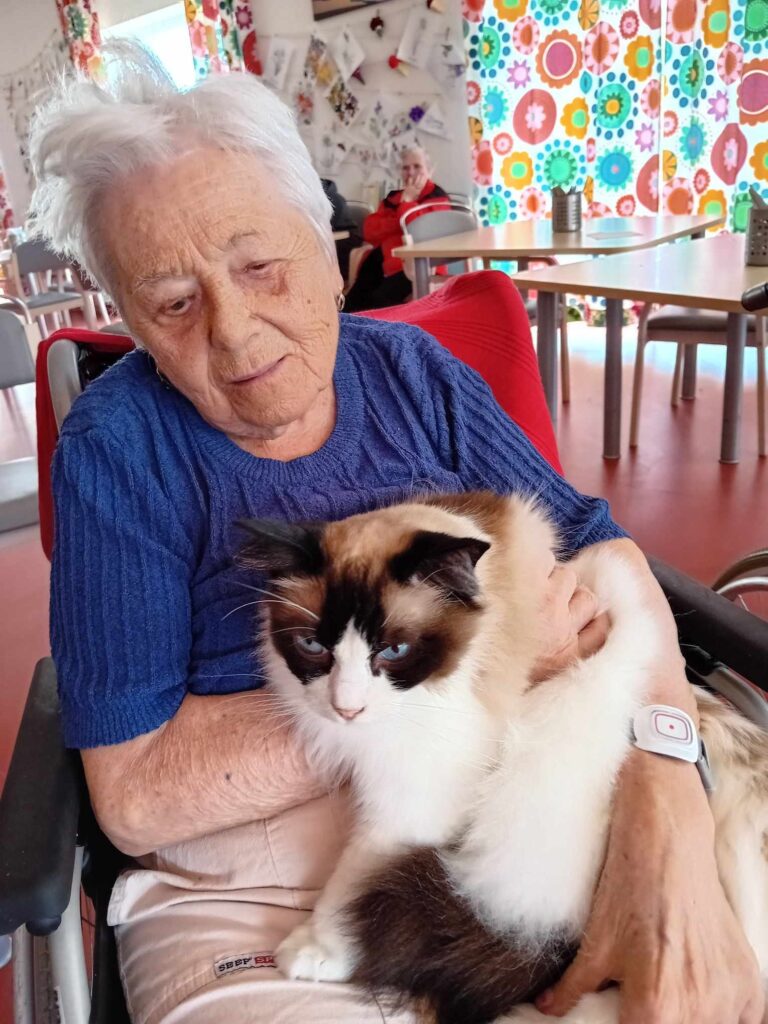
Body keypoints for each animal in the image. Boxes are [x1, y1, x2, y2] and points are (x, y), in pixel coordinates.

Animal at [237, 491, 768, 1024]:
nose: (347, 708)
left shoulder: (416, 795)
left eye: (395, 651)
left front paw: (319, 948)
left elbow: (354, 877)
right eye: (312, 646)